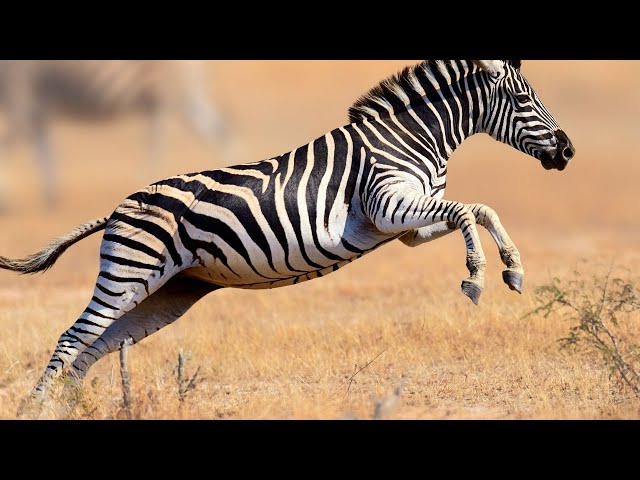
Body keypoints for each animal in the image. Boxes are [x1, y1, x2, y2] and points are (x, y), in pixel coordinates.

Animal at [0, 60, 228, 206]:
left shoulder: (21, 103)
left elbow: (10, 148)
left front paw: (7, 199)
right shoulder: (36, 113)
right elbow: (44, 153)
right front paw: (51, 197)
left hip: (177, 96)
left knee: (215, 133)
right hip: (163, 101)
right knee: (213, 131)